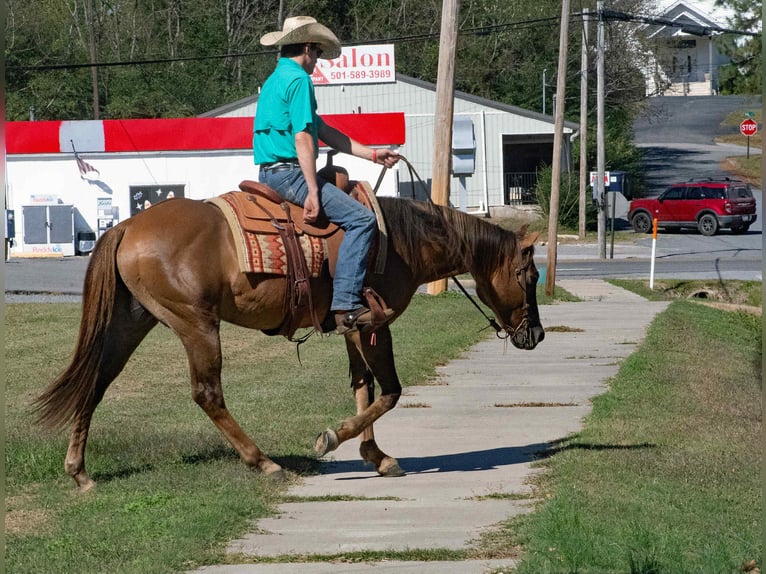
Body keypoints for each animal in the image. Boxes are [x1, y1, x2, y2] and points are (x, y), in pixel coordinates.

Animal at [33, 193, 545, 491]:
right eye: (529, 275)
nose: (536, 335)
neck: (400, 240)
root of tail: (126, 226)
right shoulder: (374, 325)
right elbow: (391, 391)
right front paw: (332, 438)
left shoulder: (352, 325)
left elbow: (364, 387)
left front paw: (375, 456)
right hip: (196, 323)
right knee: (207, 393)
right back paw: (263, 462)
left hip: (133, 321)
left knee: (96, 381)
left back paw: (79, 470)